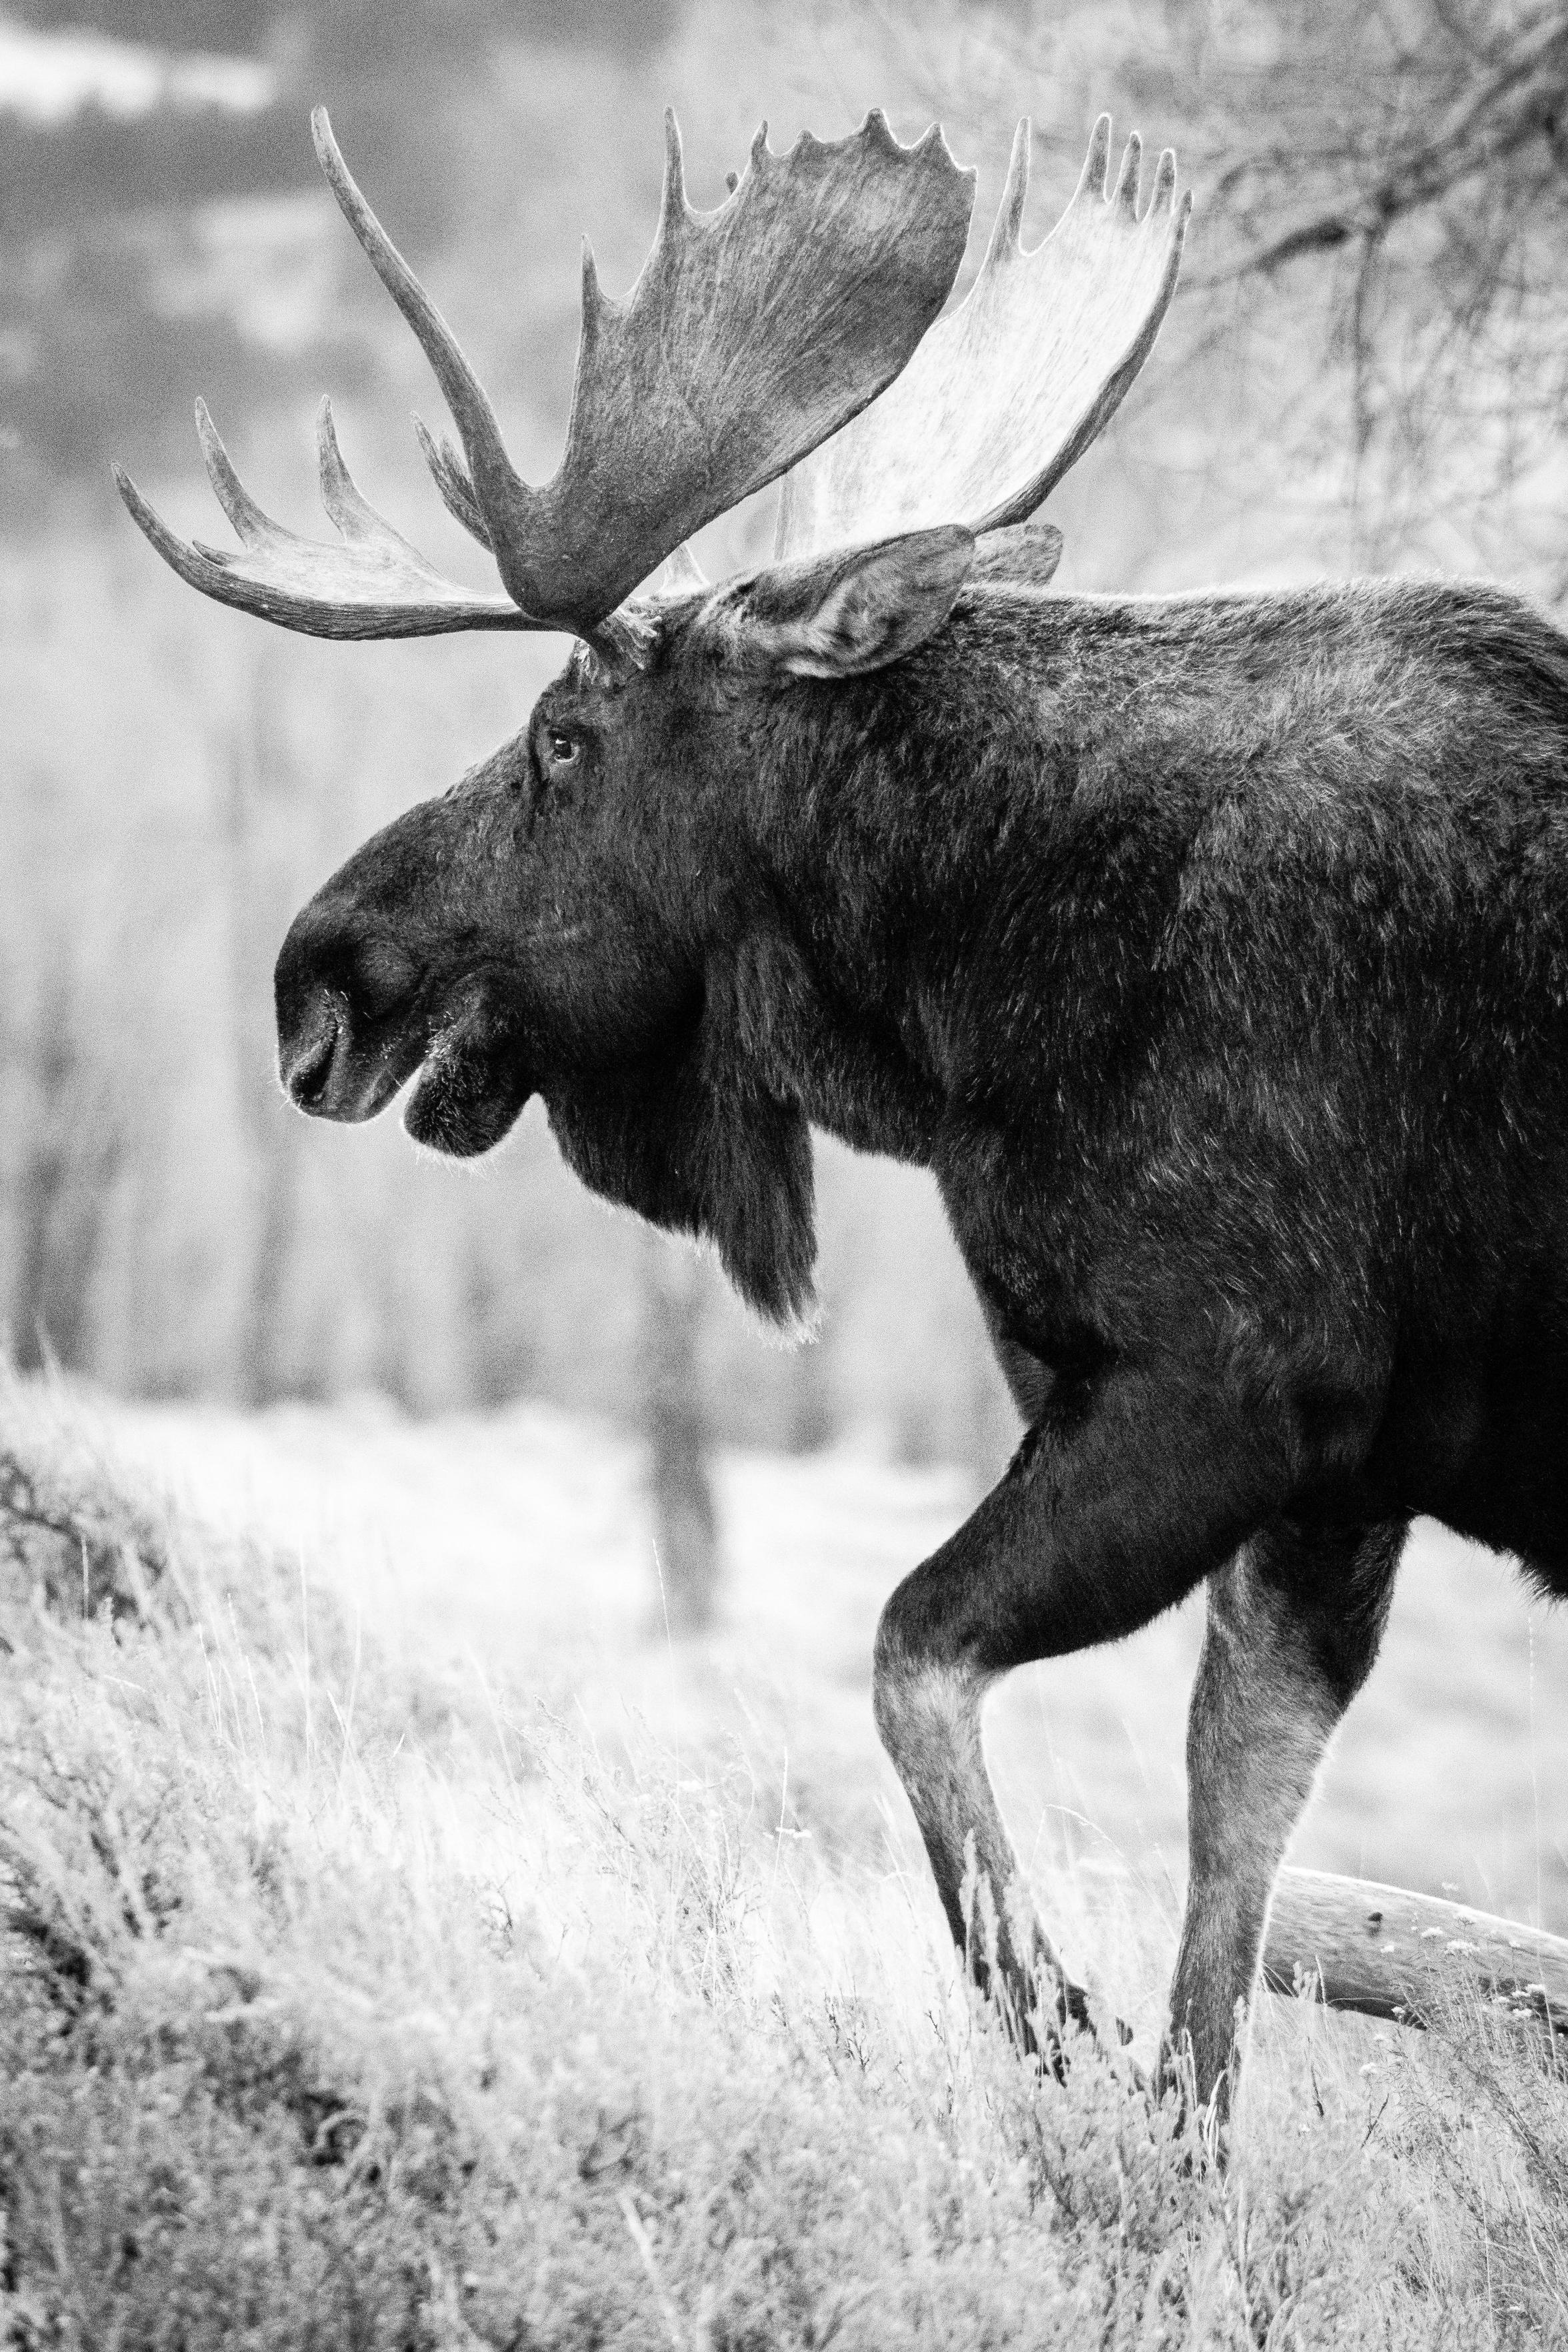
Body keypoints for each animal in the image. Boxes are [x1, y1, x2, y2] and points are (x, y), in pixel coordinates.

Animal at [116, 101, 1568, 2126]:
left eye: (561, 738)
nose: (315, 972)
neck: (971, 993)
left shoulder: (1232, 1383)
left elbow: (910, 1658)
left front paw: (1048, 2016)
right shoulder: (1339, 1479)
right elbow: (1231, 1871)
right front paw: (1151, 2127)